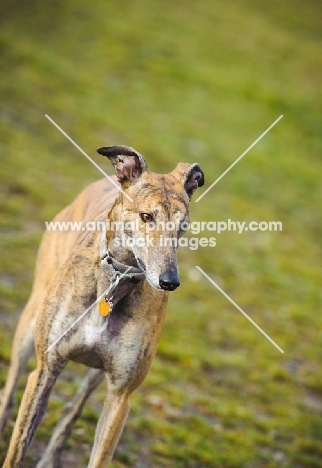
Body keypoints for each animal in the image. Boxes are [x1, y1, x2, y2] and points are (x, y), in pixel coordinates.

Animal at [0, 144, 204, 466]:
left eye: (183, 227)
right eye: (146, 216)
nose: (170, 281)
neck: (114, 283)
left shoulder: (120, 396)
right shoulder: (46, 370)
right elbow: (18, 448)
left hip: (98, 375)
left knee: (72, 410)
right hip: (29, 325)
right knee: (9, 393)